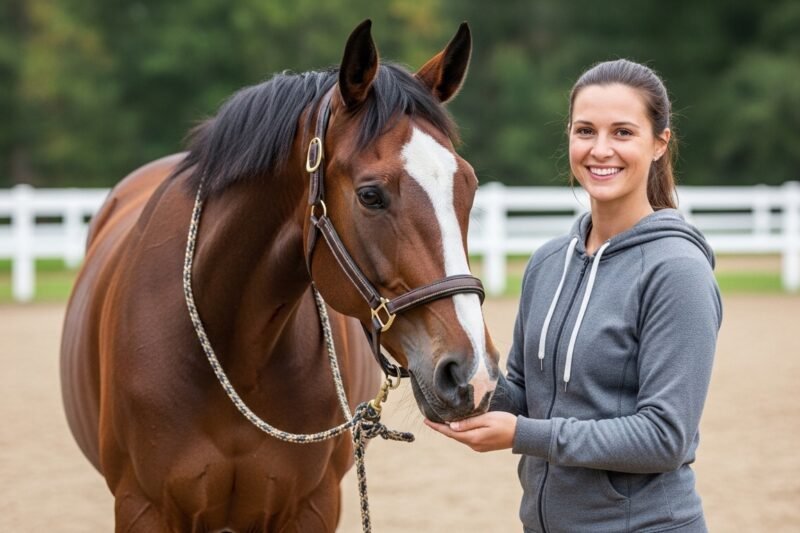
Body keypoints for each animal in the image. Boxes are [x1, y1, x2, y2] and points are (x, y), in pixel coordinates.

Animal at [60, 19, 500, 532]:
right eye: (370, 195)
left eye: (468, 186)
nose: (472, 374)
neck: (236, 352)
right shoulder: (143, 508)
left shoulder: (311, 507)